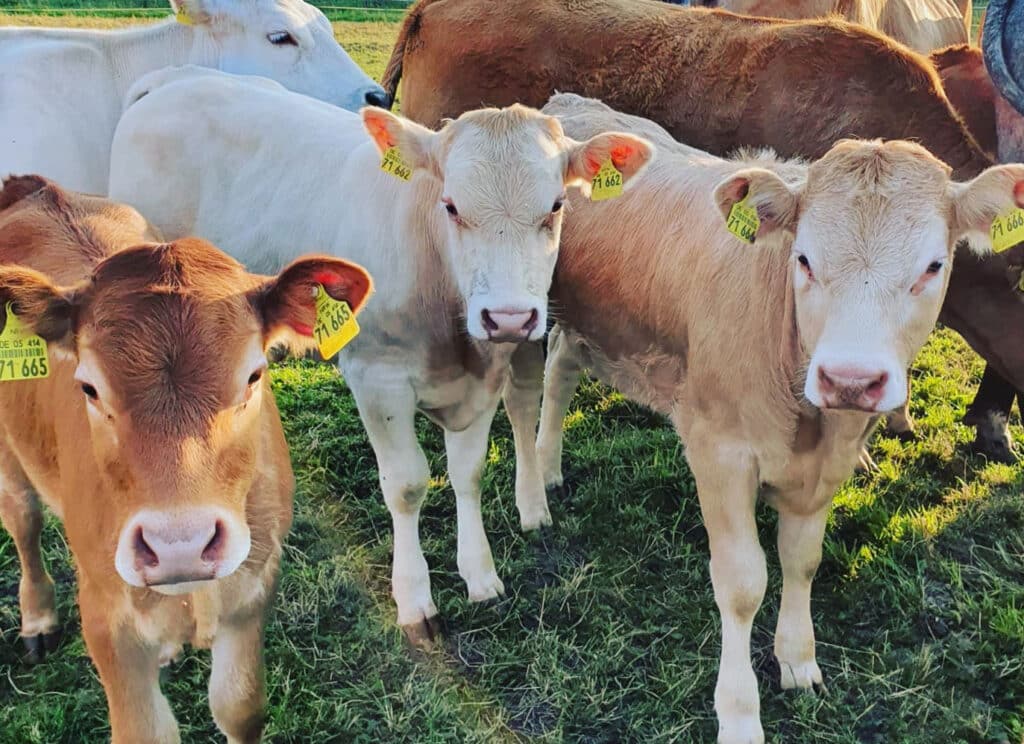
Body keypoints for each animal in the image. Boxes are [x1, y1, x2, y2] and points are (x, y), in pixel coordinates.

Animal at [0, 176, 374, 744]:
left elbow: (240, 707)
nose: (181, 546)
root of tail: (39, 190)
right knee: (23, 519)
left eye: (254, 374)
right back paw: (38, 618)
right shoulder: (106, 619)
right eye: (88, 386)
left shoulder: (253, 589)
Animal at [108, 65, 651, 646]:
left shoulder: (484, 378)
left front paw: (479, 573)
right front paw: (415, 601)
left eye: (556, 206)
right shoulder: (376, 377)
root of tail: (173, 81)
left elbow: (468, 472)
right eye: (451, 206)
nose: (508, 317)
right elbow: (408, 485)